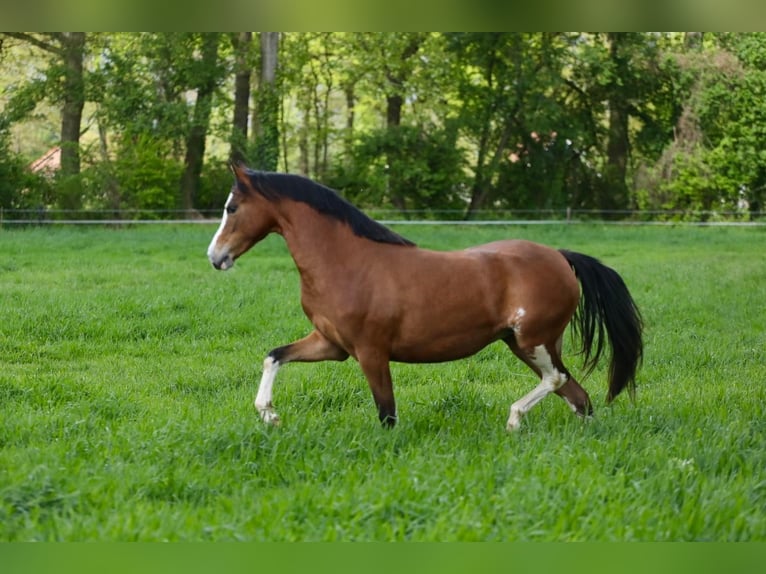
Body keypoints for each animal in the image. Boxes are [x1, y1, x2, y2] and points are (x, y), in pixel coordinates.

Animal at [208, 164, 640, 430]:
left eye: (232, 207)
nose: (215, 257)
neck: (346, 261)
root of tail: (561, 257)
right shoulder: (331, 344)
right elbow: (274, 356)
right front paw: (269, 414)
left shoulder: (371, 352)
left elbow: (387, 414)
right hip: (527, 344)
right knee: (578, 396)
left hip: (534, 341)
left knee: (559, 379)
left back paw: (514, 420)